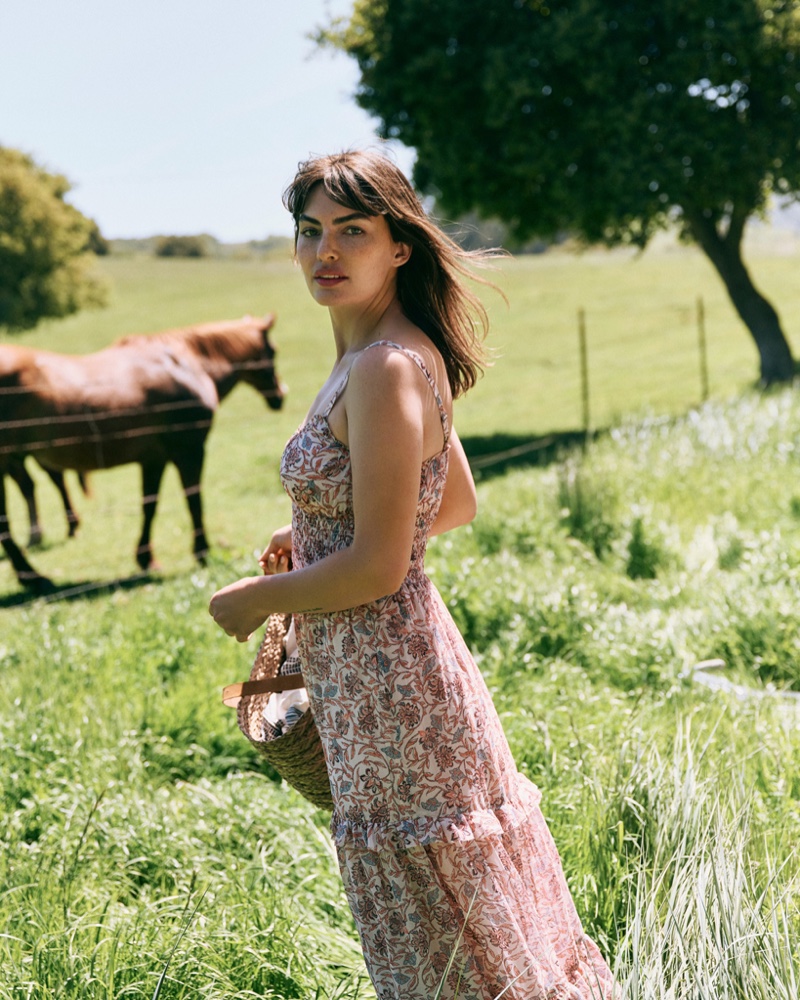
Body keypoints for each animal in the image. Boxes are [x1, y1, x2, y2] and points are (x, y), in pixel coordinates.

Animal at [0, 316, 284, 588]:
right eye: (273, 350)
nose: (280, 397)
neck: (185, 364)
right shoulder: (189, 451)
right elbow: (193, 500)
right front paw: (201, 551)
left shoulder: (154, 459)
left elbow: (149, 505)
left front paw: (146, 558)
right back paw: (32, 575)